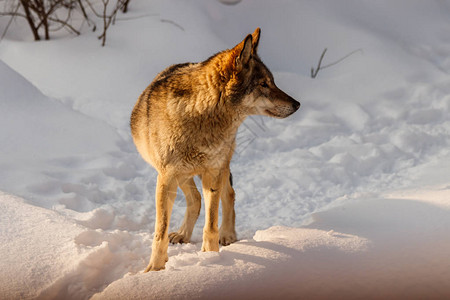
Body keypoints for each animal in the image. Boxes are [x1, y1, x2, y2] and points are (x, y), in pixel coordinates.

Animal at [130, 28, 298, 272]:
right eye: (264, 84)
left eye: (272, 82)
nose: (297, 104)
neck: (201, 116)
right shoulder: (166, 179)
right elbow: (160, 232)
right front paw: (155, 269)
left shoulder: (212, 173)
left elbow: (211, 225)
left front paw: (211, 259)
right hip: (180, 175)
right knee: (196, 199)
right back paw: (182, 234)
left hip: (218, 167)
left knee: (228, 194)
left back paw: (227, 235)